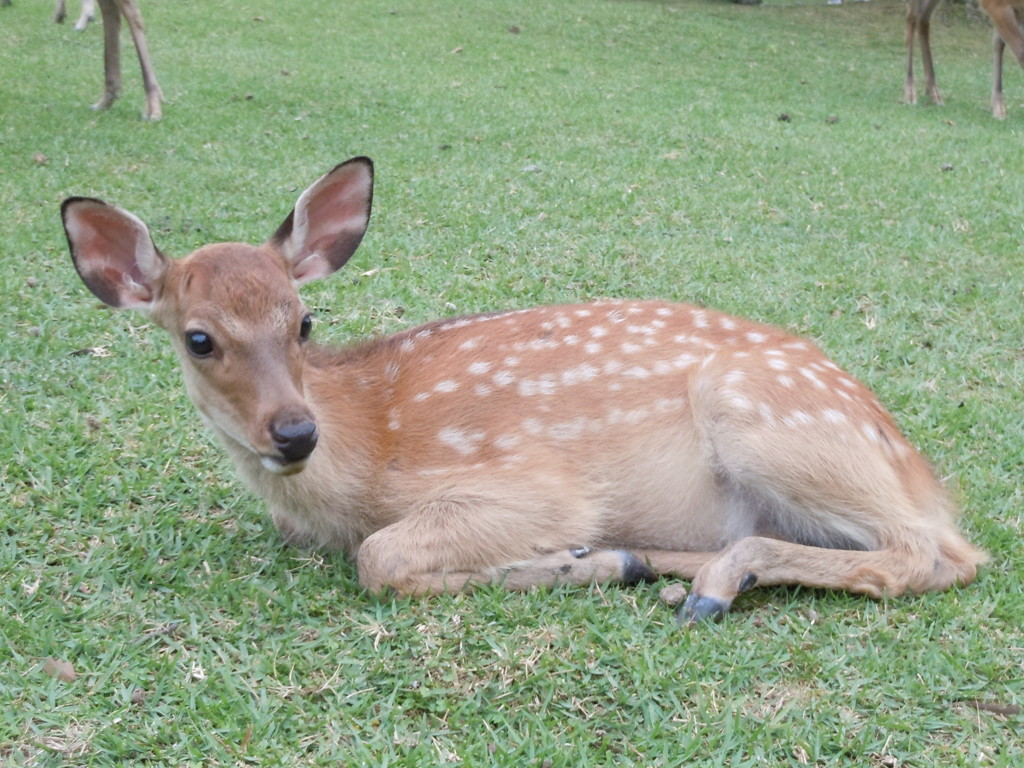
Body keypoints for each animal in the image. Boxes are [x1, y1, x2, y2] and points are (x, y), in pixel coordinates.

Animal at [61, 157, 983, 626]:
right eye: (199, 338)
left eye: (304, 321)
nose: (292, 433)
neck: (362, 452)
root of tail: (924, 475)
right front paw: (593, 562)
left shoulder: (530, 481)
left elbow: (379, 557)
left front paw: (568, 560)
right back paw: (660, 566)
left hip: (764, 414)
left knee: (927, 554)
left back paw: (709, 583)